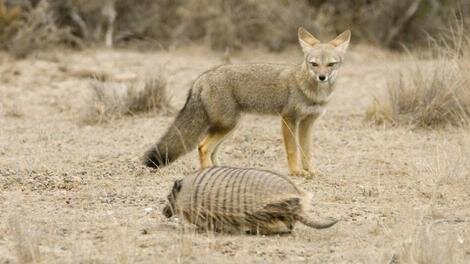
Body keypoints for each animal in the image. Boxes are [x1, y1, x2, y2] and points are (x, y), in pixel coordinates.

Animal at [145, 26, 350, 177]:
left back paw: (221, 171)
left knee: (212, 150)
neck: (314, 92)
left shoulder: (308, 122)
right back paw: (208, 173)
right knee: (203, 147)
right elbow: (292, 150)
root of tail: (202, 77)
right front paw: (296, 172)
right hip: (227, 125)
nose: (322, 77)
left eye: (331, 64)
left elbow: (307, 151)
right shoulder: (288, 119)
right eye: (314, 64)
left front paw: (311, 171)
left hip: (230, 126)